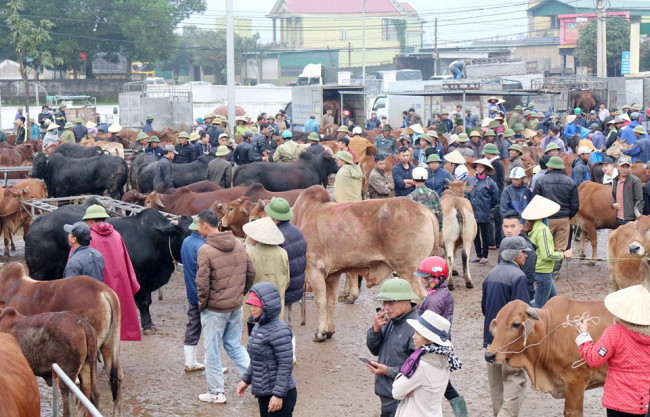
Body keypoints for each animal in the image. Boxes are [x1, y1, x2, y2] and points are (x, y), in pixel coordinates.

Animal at [25, 203, 192, 334]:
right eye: (185, 234)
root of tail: (38, 222)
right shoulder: (140, 278)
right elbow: (144, 302)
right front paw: (147, 325)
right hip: (39, 273)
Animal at [292, 185, 438, 342]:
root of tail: (424, 210)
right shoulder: (332, 275)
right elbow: (331, 302)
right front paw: (329, 331)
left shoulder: (314, 268)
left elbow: (321, 301)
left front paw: (320, 333)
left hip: (408, 271)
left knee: (421, 299)